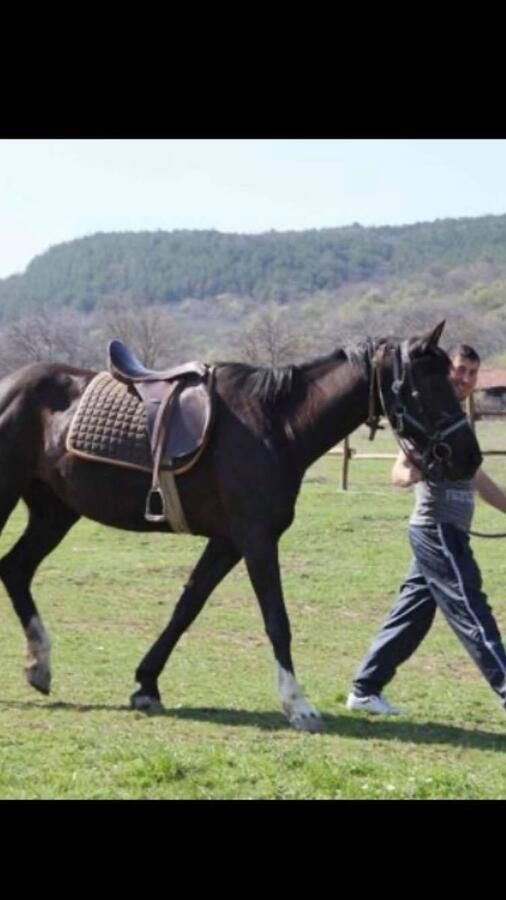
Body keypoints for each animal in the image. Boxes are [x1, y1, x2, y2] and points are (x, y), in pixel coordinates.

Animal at [0, 320, 482, 728]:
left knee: (16, 569)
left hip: (55, 512)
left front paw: (146, 684)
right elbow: (277, 620)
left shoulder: (227, 542)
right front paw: (298, 705)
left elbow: (186, 608)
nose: (470, 457)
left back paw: (39, 665)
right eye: (428, 384)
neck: (275, 423)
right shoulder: (257, 539)